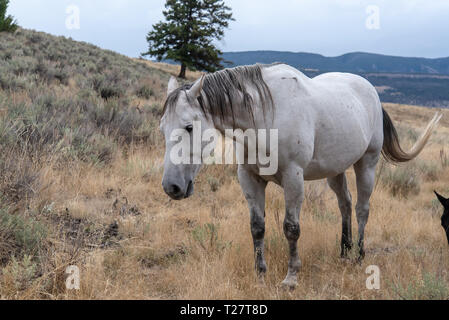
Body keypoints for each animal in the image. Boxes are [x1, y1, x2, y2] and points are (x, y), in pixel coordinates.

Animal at [158, 63, 440, 290]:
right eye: (162, 128)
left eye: (189, 127)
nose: (172, 186)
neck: (265, 116)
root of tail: (371, 92)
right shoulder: (249, 178)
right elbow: (257, 227)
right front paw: (260, 276)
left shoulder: (293, 177)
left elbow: (291, 228)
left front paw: (291, 278)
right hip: (335, 170)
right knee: (345, 204)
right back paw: (343, 252)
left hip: (367, 164)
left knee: (362, 208)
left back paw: (359, 256)